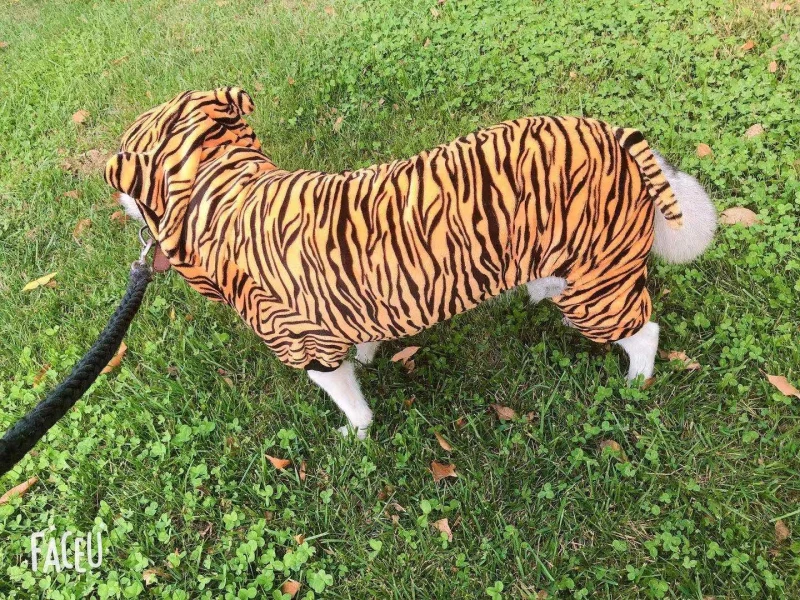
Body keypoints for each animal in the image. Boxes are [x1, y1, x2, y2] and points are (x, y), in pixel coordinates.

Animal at [106, 87, 716, 438]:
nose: (118, 206)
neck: (226, 193)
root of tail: (620, 139)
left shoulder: (308, 346)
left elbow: (349, 402)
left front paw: (356, 433)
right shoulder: (357, 303)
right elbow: (366, 340)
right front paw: (371, 354)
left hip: (599, 288)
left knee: (645, 331)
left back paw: (636, 380)